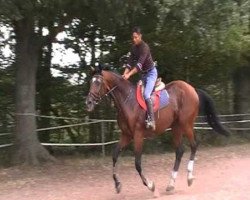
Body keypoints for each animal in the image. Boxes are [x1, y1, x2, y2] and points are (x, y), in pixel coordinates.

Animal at [85, 67, 229, 194]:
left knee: (194, 145)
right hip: (176, 127)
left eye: (98, 83)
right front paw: (117, 184)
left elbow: (137, 163)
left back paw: (189, 177)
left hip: (186, 124)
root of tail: (192, 89)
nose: (88, 102)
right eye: (91, 82)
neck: (127, 101)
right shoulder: (126, 135)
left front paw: (150, 185)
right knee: (180, 151)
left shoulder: (138, 135)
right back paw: (171, 184)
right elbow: (115, 156)